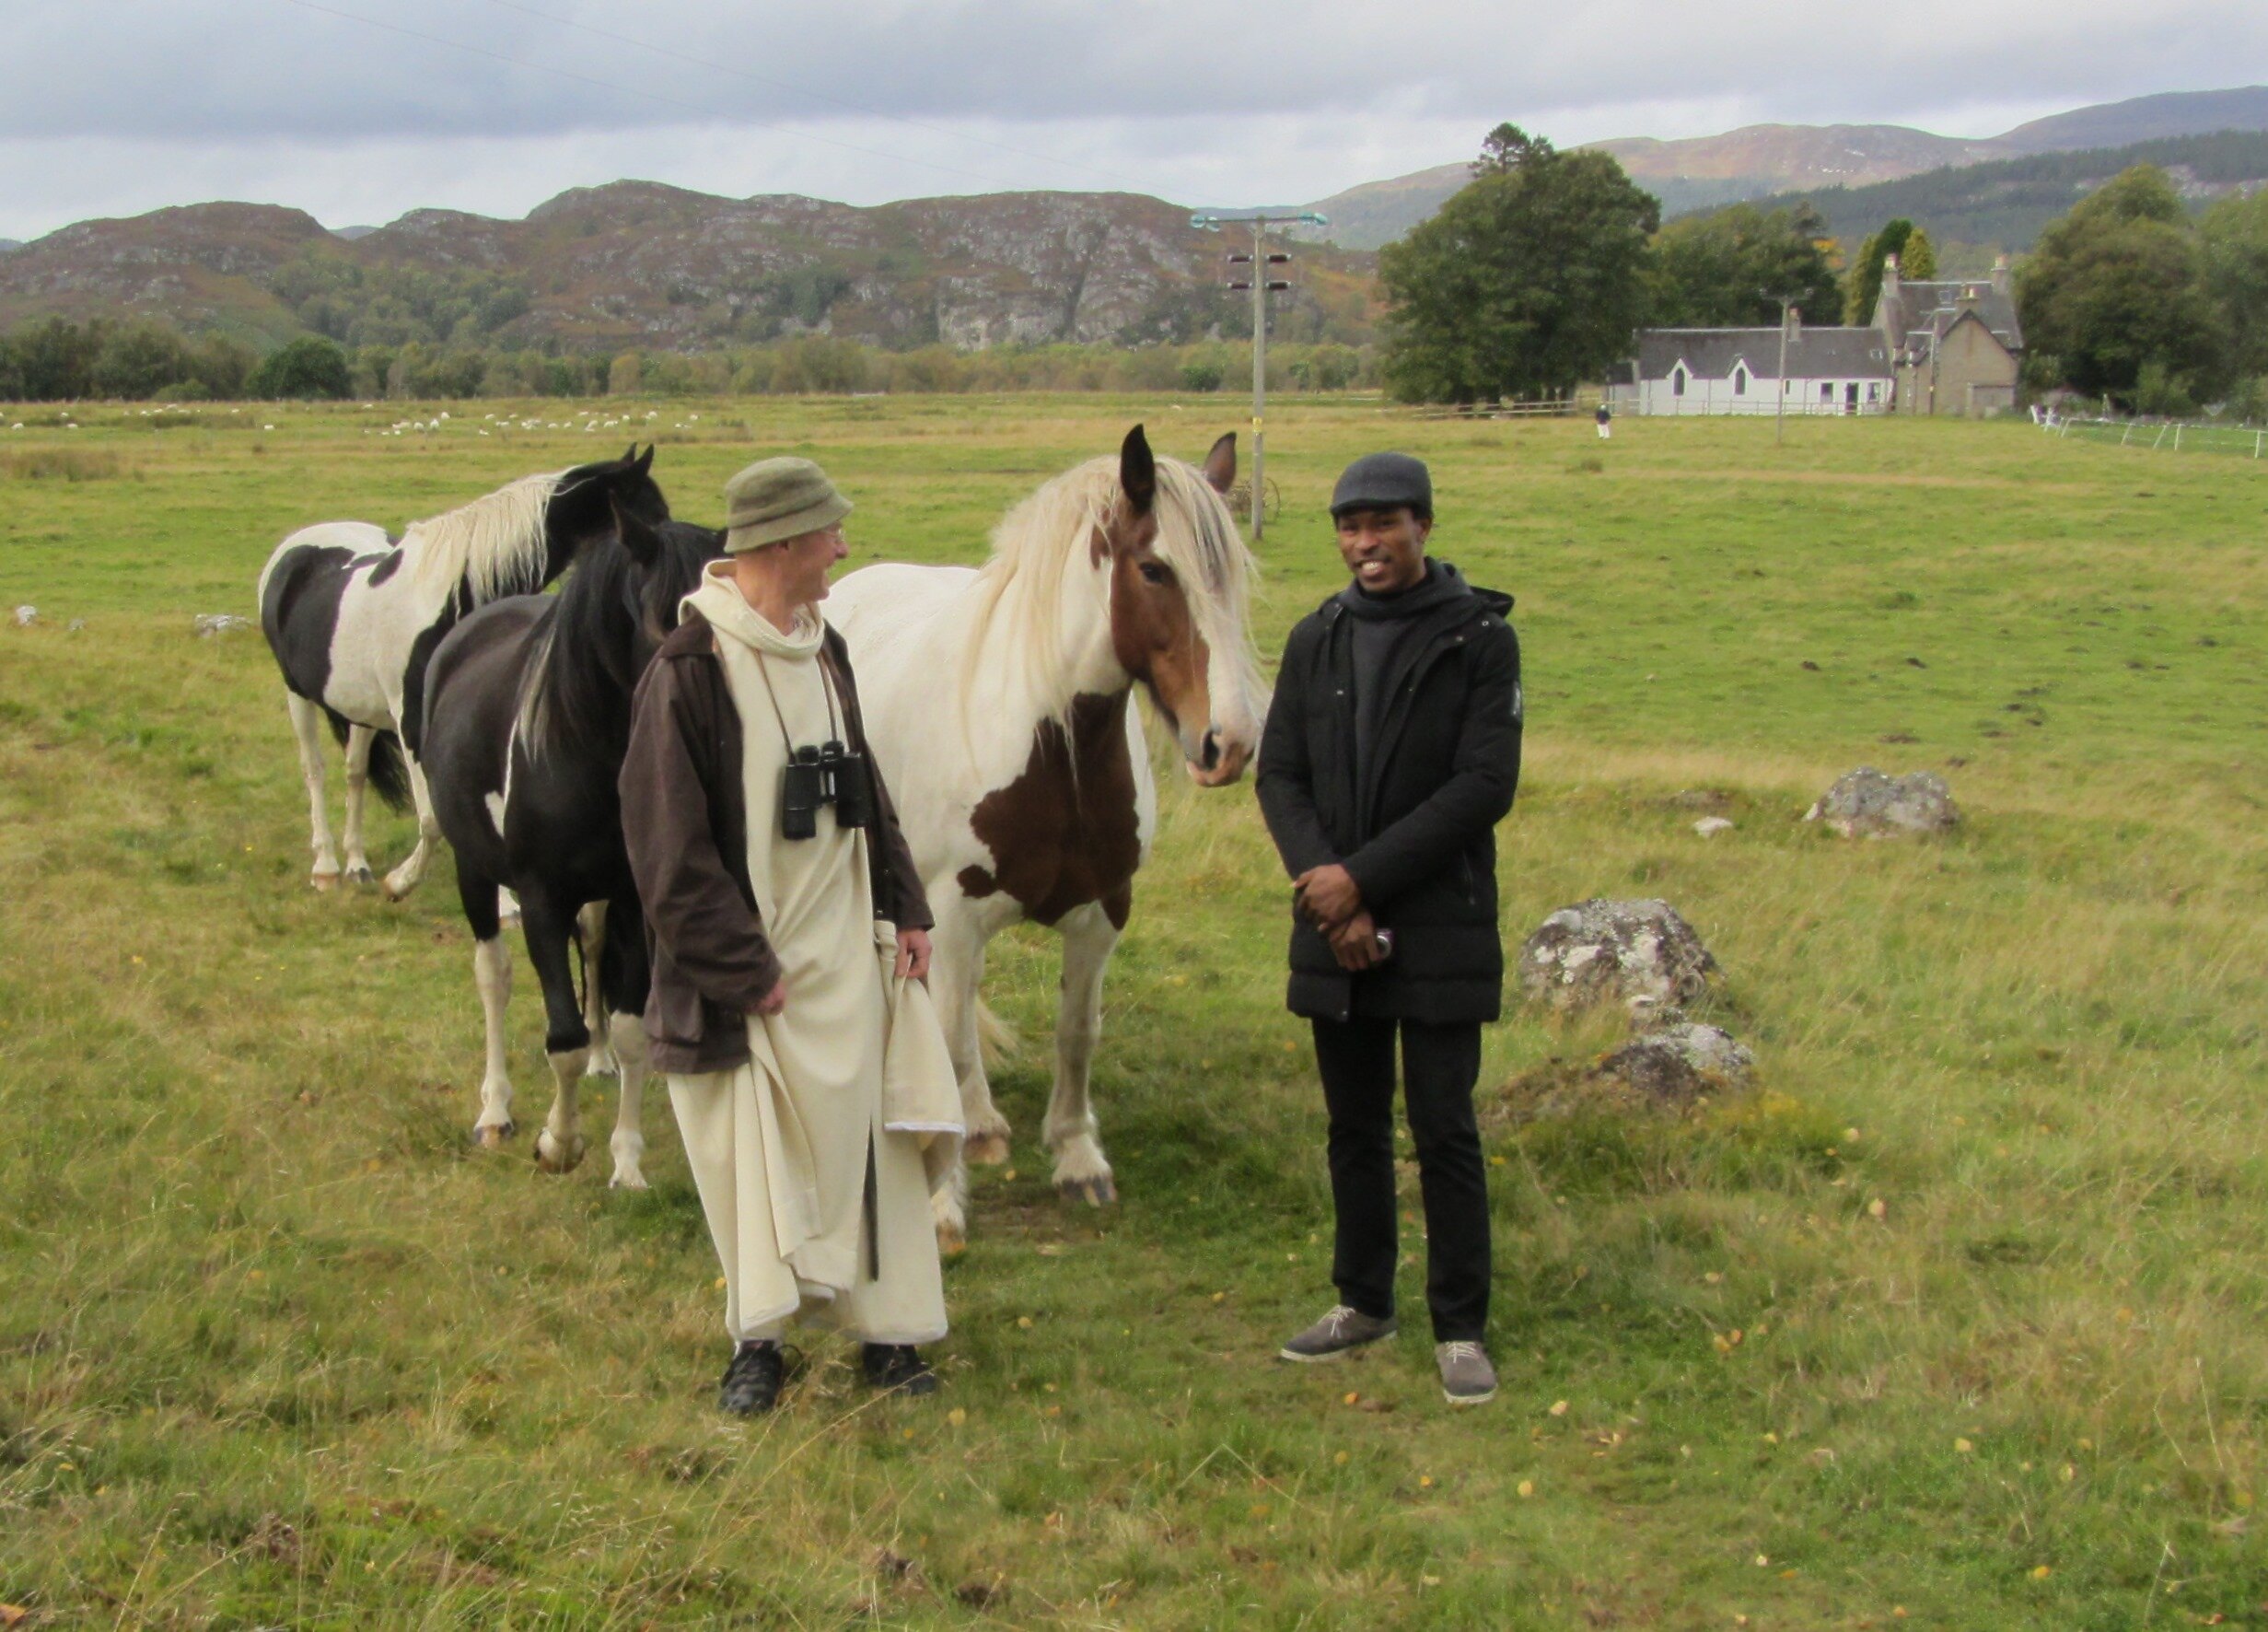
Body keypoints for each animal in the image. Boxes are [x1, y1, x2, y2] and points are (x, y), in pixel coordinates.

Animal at [260, 447, 662, 898]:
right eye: (648, 520)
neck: (448, 598)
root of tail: (296, 548)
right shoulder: (412, 723)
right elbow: (434, 818)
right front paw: (404, 880)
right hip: (298, 695)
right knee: (313, 770)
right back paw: (327, 867)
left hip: (360, 707)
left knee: (355, 772)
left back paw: (357, 864)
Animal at [419, 501, 716, 1189]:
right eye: (667, 621)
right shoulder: (540, 899)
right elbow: (563, 1038)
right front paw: (558, 1142)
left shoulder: (634, 899)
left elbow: (630, 1029)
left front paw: (626, 1164)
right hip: (476, 872)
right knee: (494, 978)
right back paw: (495, 1112)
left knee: (594, 949)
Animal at [830, 424, 1261, 1253]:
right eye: (1154, 569)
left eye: (1232, 578)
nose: (1229, 742)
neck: (1052, 748)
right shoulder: (951, 915)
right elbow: (953, 1041)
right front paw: (943, 1197)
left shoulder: (1103, 911)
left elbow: (1075, 1032)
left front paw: (1075, 1158)